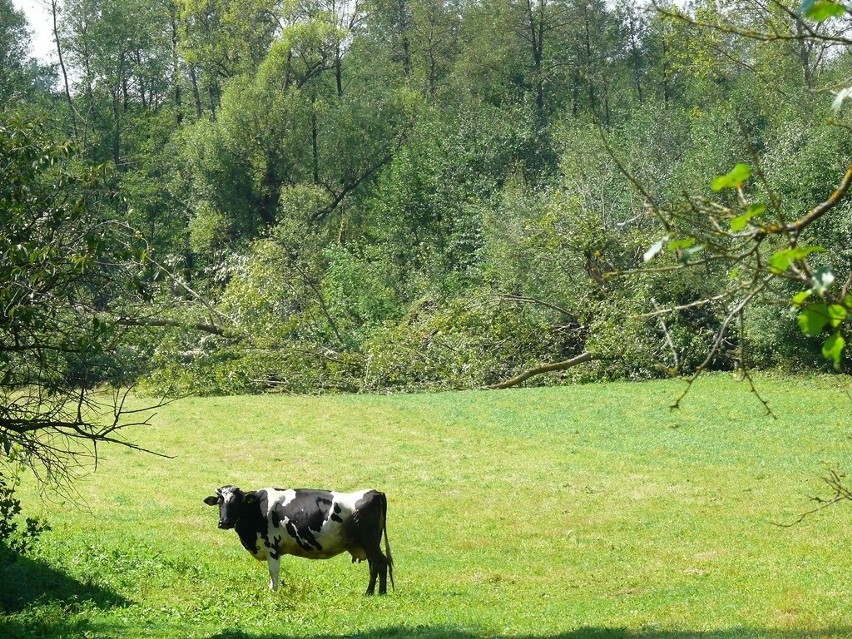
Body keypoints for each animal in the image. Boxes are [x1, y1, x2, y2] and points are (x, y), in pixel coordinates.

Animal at [205, 484, 394, 596]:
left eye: (237, 502)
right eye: (220, 502)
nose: (223, 522)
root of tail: (375, 492)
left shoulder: (271, 547)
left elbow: (273, 572)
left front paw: (273, 592)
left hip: (369, 542)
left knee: (381, 562)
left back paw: (381, 593)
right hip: (368, 544)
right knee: (374, 565)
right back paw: (370, 592)